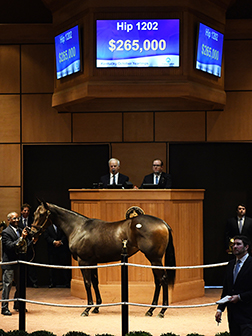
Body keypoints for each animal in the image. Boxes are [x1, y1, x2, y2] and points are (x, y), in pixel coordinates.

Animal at [31, 202, 175, 318]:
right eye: (34, 213)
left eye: (42, 214)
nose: (31, 232)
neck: (79, 228)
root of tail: (163, 223)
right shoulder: (92, 262)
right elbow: (95, 282)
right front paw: (96, 307)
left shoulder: (83, 262)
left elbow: (87, 283)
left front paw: (87, 309)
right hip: (153, 260)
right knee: (158, 281)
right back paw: (150, 310)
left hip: (154, 259)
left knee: (163, 279)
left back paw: (162, 311)